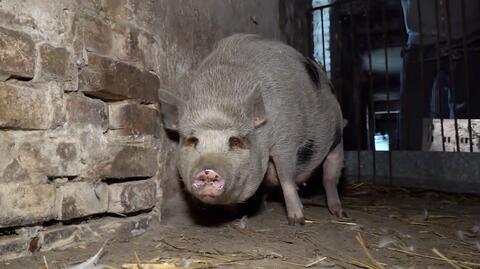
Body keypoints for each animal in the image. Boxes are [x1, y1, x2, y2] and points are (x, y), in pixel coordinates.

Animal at [160, 34, 344, 224]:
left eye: (235, 140)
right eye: (192, 140)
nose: (208, 170)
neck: (219, 101)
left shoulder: (286, 142)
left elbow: (286, 177)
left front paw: (297, 220)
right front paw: (231, 216)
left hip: (337, 136)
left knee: (330, 174)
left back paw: (339, 213)